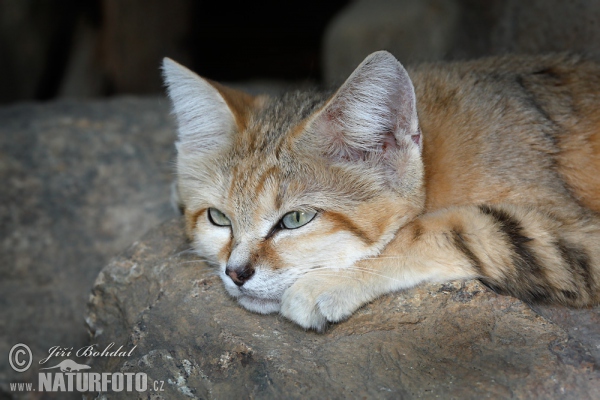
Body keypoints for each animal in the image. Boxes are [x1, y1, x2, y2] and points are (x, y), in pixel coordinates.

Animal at [161, 50, 600, 332]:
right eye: (219, 218)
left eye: (296, 219)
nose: (235, 273)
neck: (435, 165)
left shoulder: (575, 236)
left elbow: (439, 228)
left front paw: (332, 281)